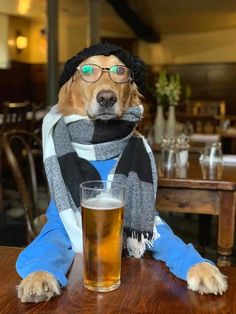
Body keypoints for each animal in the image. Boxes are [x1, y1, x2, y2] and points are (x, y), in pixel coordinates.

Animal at [16, 44, 227, 302]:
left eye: (120, 71)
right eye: (88, 70)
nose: (107, 97)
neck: (99, 141)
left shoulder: (155, 220)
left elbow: (174, 241)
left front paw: (203, 268)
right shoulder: (56, 223)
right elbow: (44, 247)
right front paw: (38, 277)